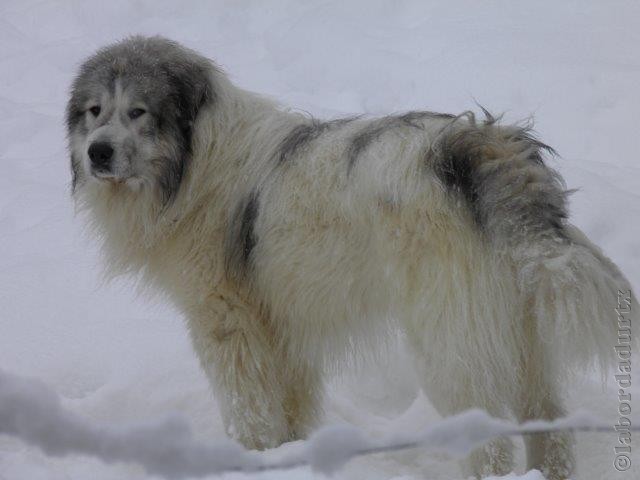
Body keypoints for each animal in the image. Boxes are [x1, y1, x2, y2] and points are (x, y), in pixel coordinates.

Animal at [66, 35, 636, 478]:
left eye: (138, 112)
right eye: (95, 112)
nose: (98, 151)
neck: (193, 162)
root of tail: (481, 147)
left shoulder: (226, 320)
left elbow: (249, 407)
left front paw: (251, 459)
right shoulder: (280, 325)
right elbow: (290, 405)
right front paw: (291, 456)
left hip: (451, 336)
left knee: (488, 440)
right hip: (519, 328)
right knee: (550, 426)